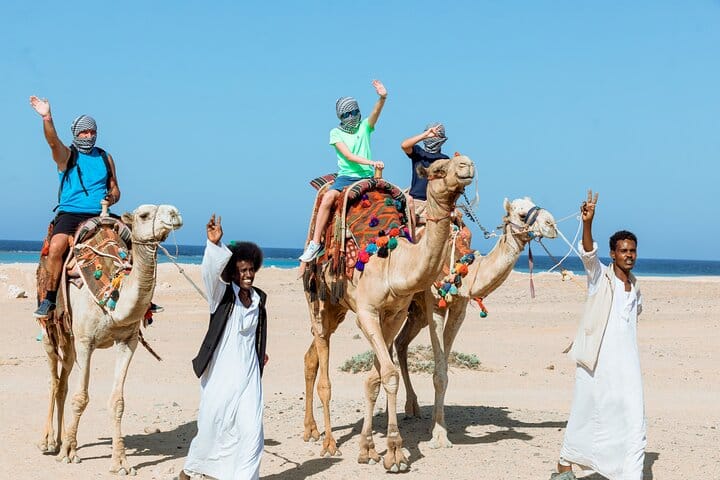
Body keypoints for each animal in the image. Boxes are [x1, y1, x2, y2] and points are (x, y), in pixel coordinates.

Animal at [36, 204, 182, 475]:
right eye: (144, 215)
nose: (175, 214)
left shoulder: (128, 341)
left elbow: (117, 402)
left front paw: (121, 462)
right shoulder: (86, 341)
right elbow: (81, 398)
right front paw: (70, 453)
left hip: (69, 338)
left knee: (63, 380)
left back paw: (60, 439)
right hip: (51, 330)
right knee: (53, 379)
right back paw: (48, 442)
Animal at [302, 154, 475, 472]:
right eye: (438, 169)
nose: (466, 164)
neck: (393, 263)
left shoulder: (394, 314)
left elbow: (377, 377)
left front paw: (370, 448)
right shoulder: (367, 313)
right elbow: (389, 374)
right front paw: (394, 452)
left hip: (338, 308)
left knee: (311, 357)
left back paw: (310, 430)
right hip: (318, 297)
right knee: (323, 364)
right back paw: (329, 442)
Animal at [394, 197, 557, 448]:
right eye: (522, 215)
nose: (552, 225)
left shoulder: (459, 308)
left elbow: (444, 370)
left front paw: (437, 425)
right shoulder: (435, 302)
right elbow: (439, 375)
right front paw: (439, 437)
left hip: (416, 313)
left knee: (400, 343)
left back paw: (412, 407)